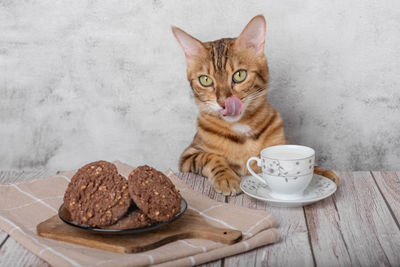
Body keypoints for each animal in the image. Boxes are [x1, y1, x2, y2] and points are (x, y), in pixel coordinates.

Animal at [170, 14, 340, 196]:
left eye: (239, 75)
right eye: (205, 80)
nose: (224, 102)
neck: (241, 127)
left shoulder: (282, 144)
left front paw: (321, 172)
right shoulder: (188, 156)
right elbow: (210, 157)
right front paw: (226, 177)